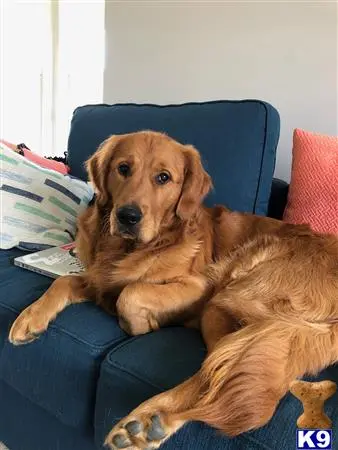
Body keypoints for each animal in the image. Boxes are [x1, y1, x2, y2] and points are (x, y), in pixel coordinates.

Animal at [7, 131, 338, 450]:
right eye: (123, 169)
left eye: (163, 177)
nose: (127, 216)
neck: (129, 248)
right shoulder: (99, 279)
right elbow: (63, 281)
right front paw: (30, 318)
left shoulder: (198, 288)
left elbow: (132, 293)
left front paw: (141, 324)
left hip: (227, 297)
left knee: (213, 375)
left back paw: (149, 422)